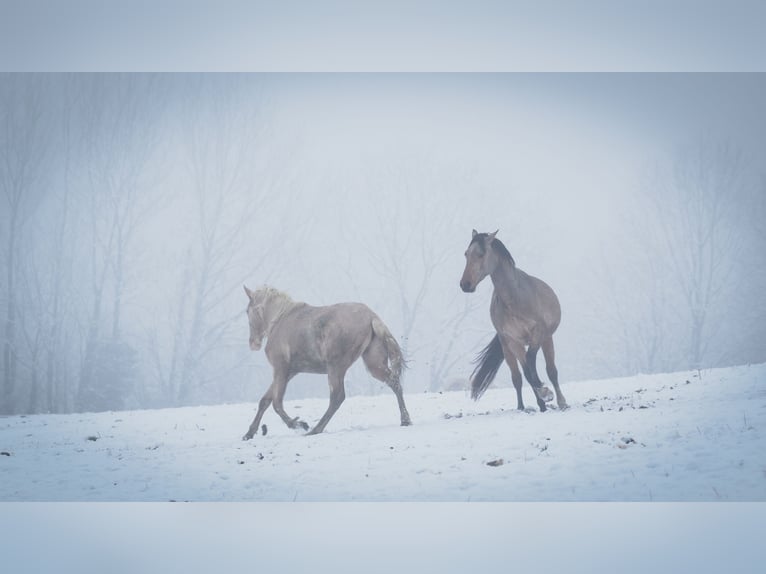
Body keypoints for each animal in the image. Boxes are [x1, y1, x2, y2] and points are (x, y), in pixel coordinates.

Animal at [242, 286, 412, 438]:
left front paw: (299, 424)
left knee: (337, 397)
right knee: (394, 383)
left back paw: (315, 429)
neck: (278, 320)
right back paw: (405, 420)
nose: (253, 343)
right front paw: (249, 433)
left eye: (248, 311)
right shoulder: (290, 372)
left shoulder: (280, 368)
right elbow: (265, 400)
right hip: (373, 364)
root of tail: (372, 317)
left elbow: (276, 403)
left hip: (335, 367)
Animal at [460, 230, 568, 412]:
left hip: (547, 338)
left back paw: (561, 402)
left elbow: (533, 364)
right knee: (517, 377)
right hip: (507, 347)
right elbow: (526, 372)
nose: (465, 284)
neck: (514, 299)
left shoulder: (538, 333)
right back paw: (525, 406)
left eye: (481, 254)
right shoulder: (512, 340)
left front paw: (546, 393)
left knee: (551, 371)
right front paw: (543, 395)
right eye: (466, 254)